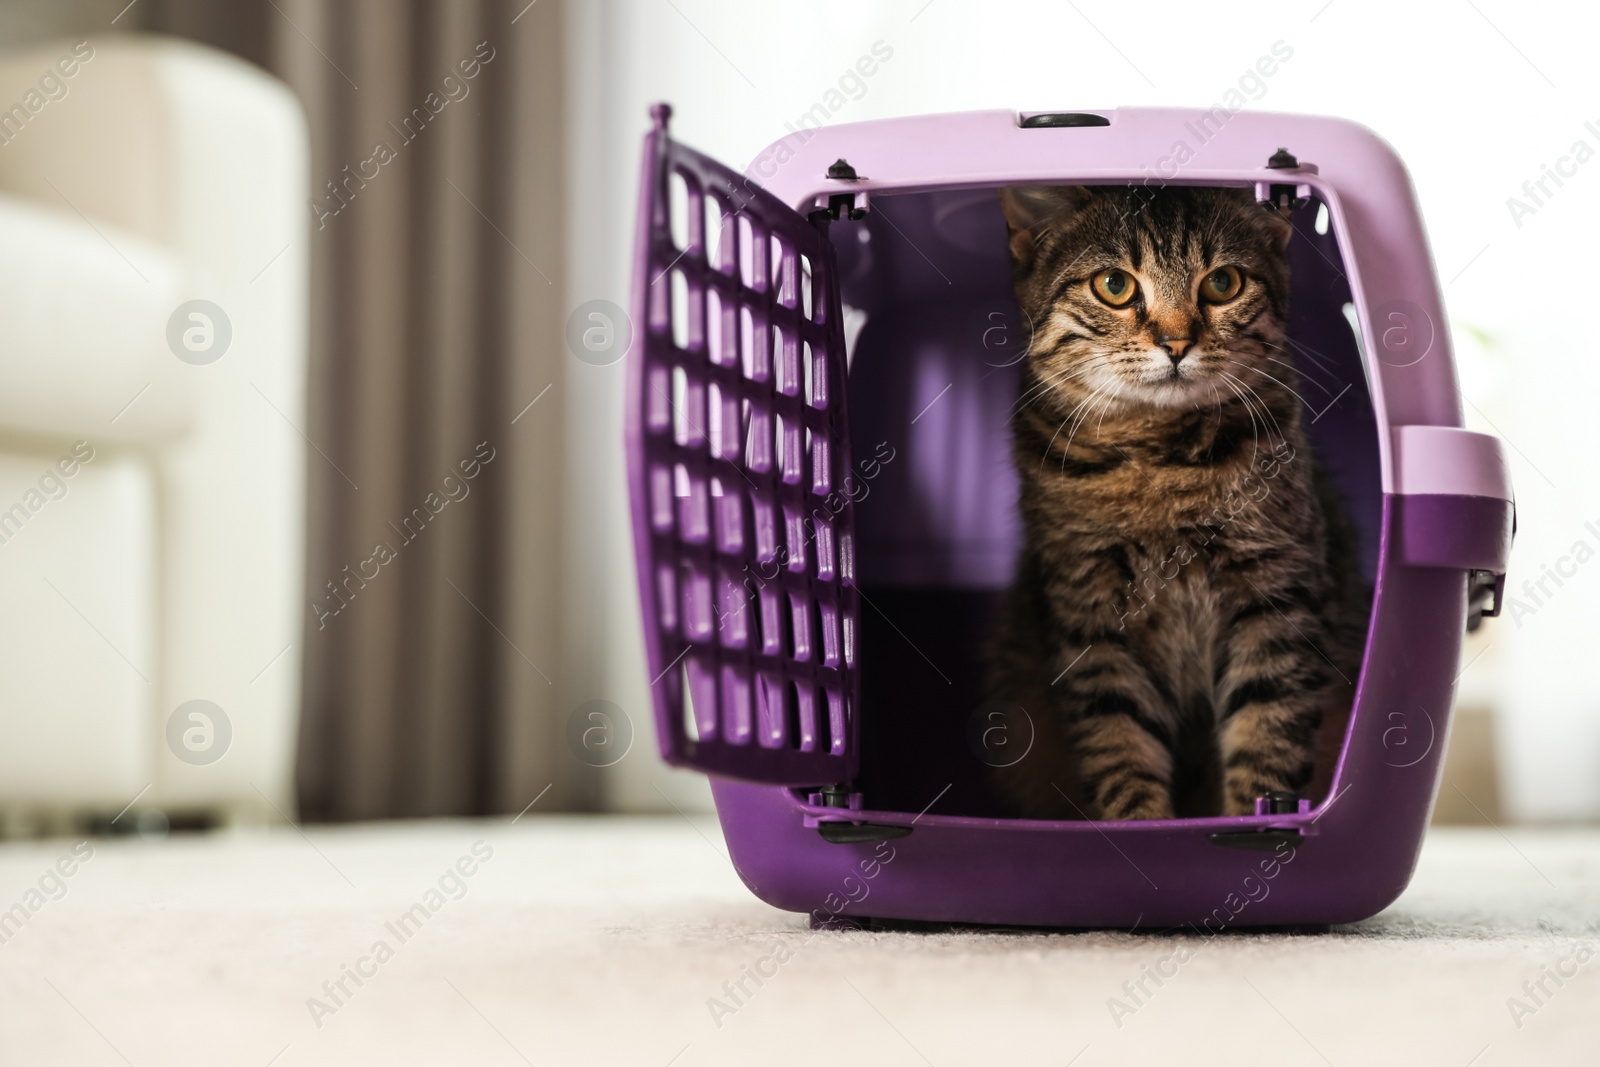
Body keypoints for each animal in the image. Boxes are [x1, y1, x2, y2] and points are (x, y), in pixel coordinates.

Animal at [992, 183, 1369, 825]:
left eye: (1223, 283)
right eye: (1113, 285)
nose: (1175, 343)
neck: (1159, 457)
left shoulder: (1277, 601)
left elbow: (1266, 742)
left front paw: (1251, 824)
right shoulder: (1092, 620)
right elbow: (1120, 746)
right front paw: (1140, 827)